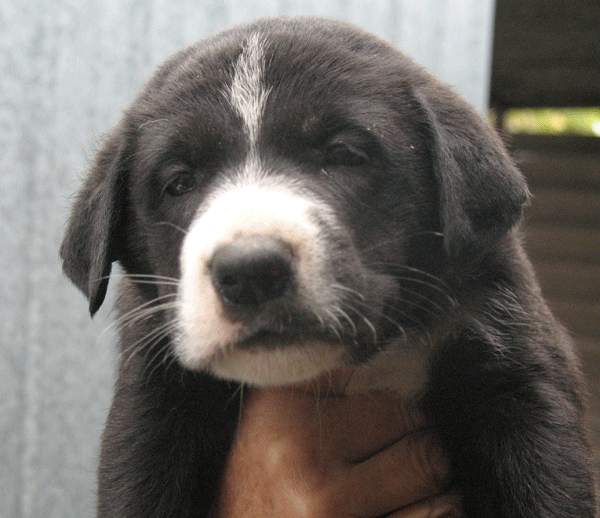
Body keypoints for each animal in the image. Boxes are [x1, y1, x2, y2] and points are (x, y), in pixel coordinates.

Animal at [61, 16, 596, 518]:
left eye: (344, 155)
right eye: (179, 182)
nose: (251, 271)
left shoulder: (517, 381)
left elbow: (548, 489)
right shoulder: (155, 399)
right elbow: (140, 489)